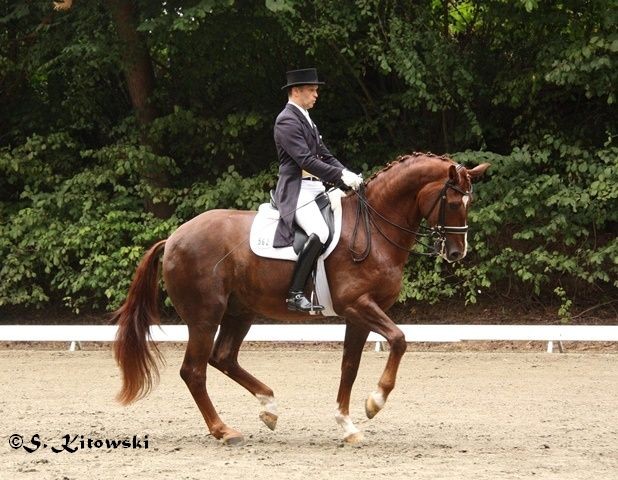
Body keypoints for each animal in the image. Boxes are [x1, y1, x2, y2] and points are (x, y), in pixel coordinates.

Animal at [110, 152, 486, 444]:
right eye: (454, 202)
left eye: (470, 203)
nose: (457, 252)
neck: (373, 230)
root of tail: (174, 237)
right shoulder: (358, 305)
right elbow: (399, 339)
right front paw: (374, 403)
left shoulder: (359, 314)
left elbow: (350, 365)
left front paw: (347, 425)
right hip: (205, 317)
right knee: (194, 371)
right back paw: (224, 430)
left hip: (240, 312)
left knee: (223, 358)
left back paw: (269, 408)